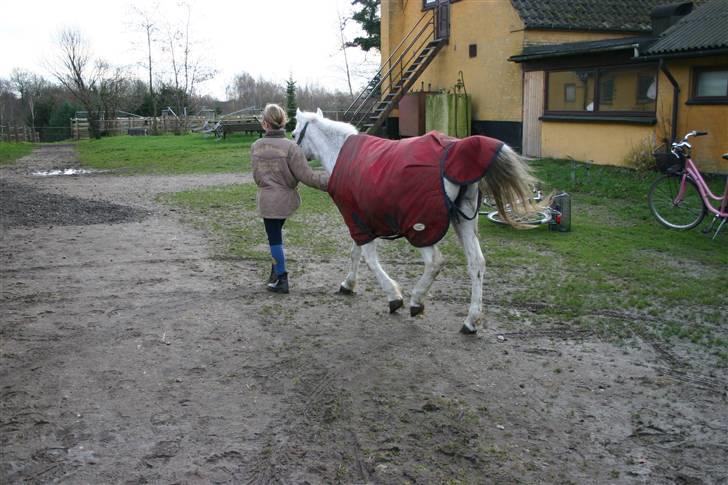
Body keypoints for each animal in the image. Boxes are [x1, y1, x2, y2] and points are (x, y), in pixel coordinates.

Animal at [292, 107, 540, 332]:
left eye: (294, 134)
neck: (341, 154)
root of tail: (457, 151)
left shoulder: (358, 221)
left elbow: (369, 259)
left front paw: (394, 297)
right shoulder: (361, 220)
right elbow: (356, 253)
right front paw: (348, 284)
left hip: (420, 228)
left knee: (435, 262)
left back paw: (417, 301)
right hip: (463, 222)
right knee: (477, 263)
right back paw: (471, 321)